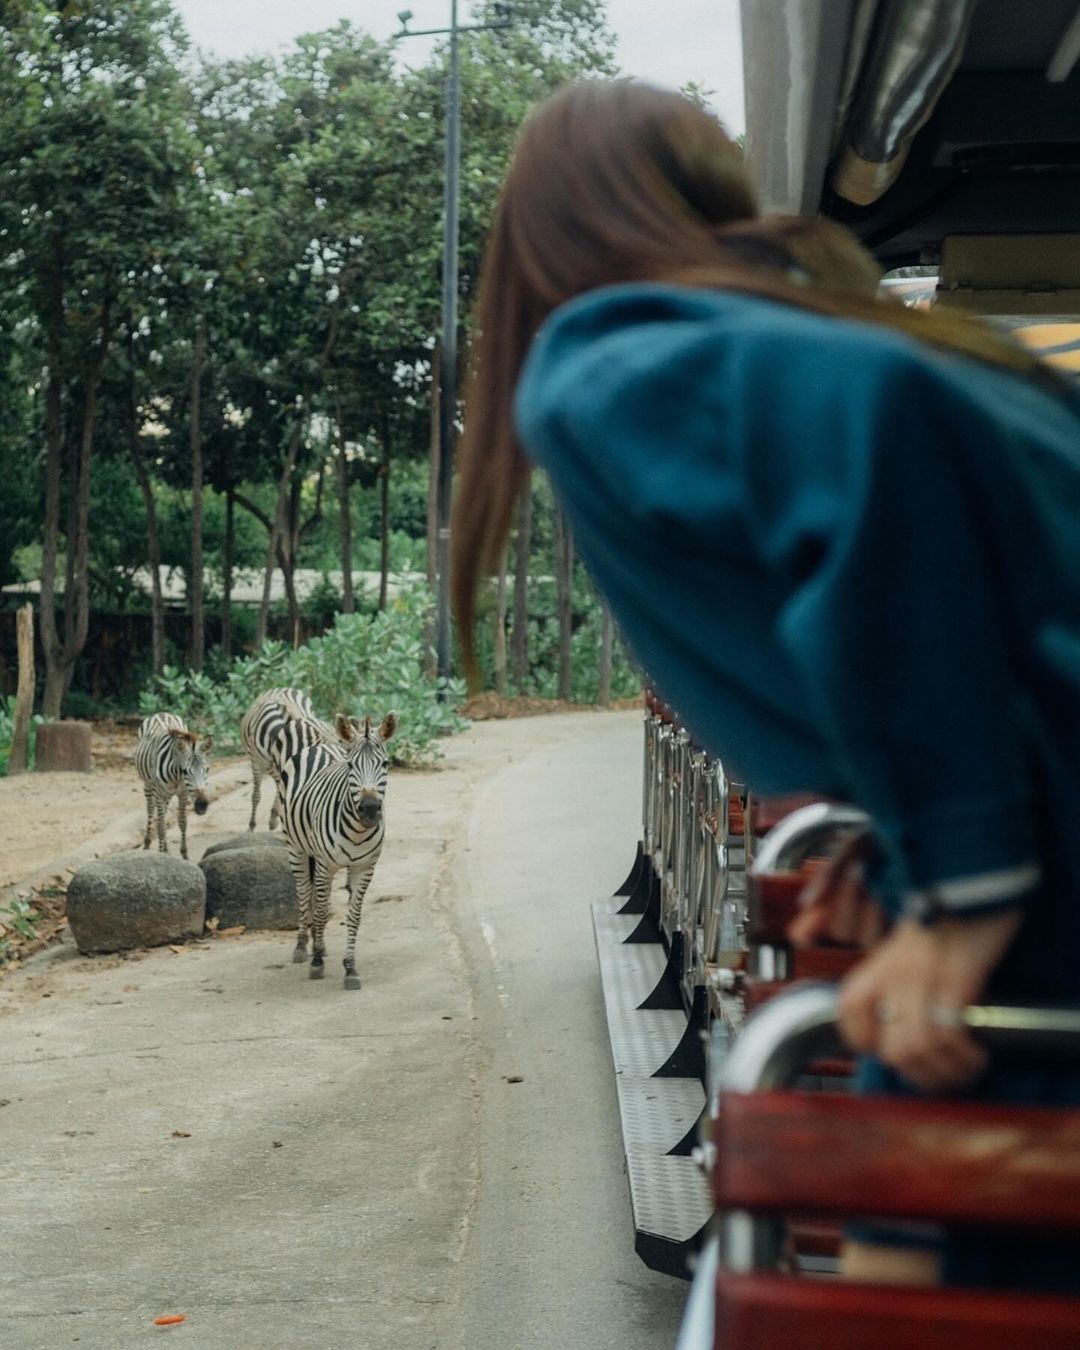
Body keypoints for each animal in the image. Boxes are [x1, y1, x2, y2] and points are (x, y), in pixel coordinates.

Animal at [133, 712, 211, 858]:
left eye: (207, 769)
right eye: (185, 771)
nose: (202, 804)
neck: (176, 776)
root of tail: (162, 713)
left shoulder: (183, 793)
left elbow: (182, 822)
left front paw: (184, 854)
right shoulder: (159, 793)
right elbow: (161, 824)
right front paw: (162, 853)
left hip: (167, 794)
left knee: (162, 814)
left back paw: (166, 848)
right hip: (149, 786)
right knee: (151, 811)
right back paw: (148, 843)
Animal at [272, 712, 399, 988]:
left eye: (385, 763)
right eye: (351, 766)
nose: (370, 809)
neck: (357, 832)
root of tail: (319, 745)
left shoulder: (365, 867)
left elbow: (353, 916)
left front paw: (350, 968)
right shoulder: (325, 864)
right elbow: (320, 911)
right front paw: (317, 961)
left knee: (320, 894)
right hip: (296, 848)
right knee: (304, 891)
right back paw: (303, 945)